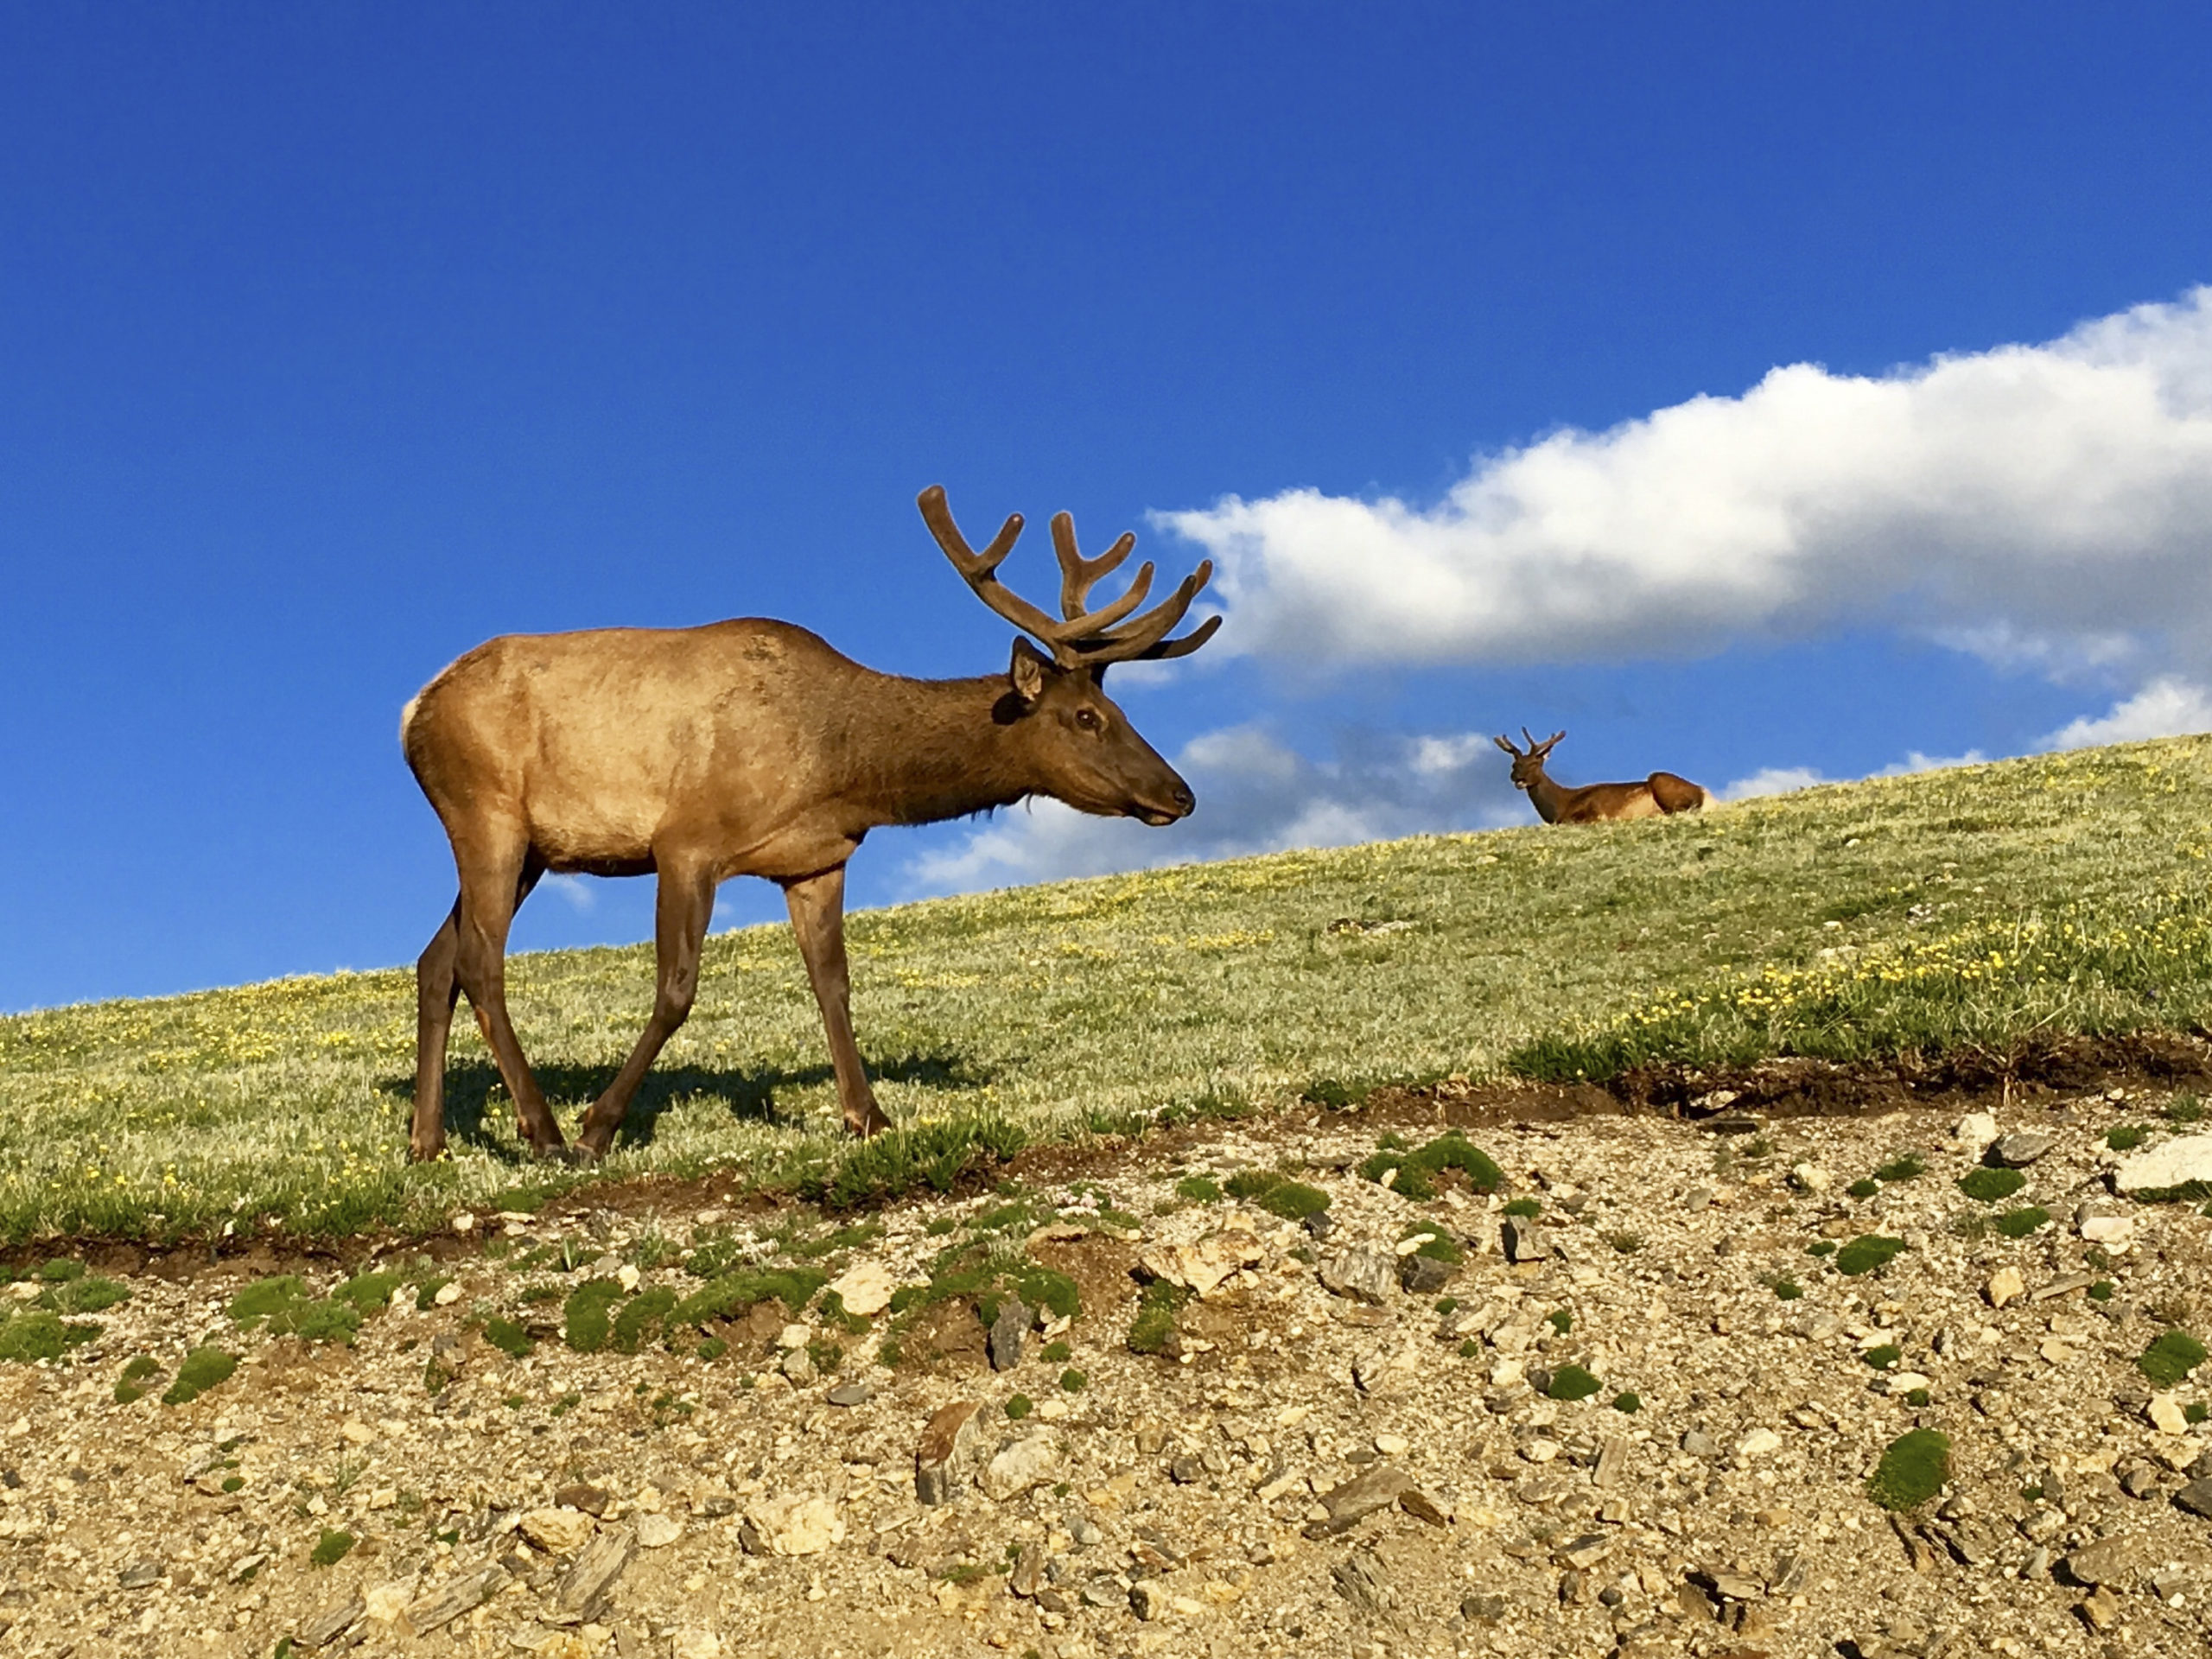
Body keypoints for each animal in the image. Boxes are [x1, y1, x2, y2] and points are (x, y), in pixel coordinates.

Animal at [404, 486, 1221, 1159]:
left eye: (1118, 709)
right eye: (1086, 717)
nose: (1180, 794)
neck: (839, 772)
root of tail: (413, 711)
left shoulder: (817, 859)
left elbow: (834, 983)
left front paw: (869, 1117)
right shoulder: (687, 841)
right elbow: (676, 989)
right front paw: (598, 1128)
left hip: (534, 848)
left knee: (437, 959)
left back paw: (427, 1140)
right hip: (486, 811)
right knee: (480, 962)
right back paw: (541, 1129)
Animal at [1503, 729, 1707, 827]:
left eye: (1534, 764)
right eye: (1514, 765)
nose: (1517, 777)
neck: (1560, 806)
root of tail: (1701, 790)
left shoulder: (1592, 811)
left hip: (1659, 779)